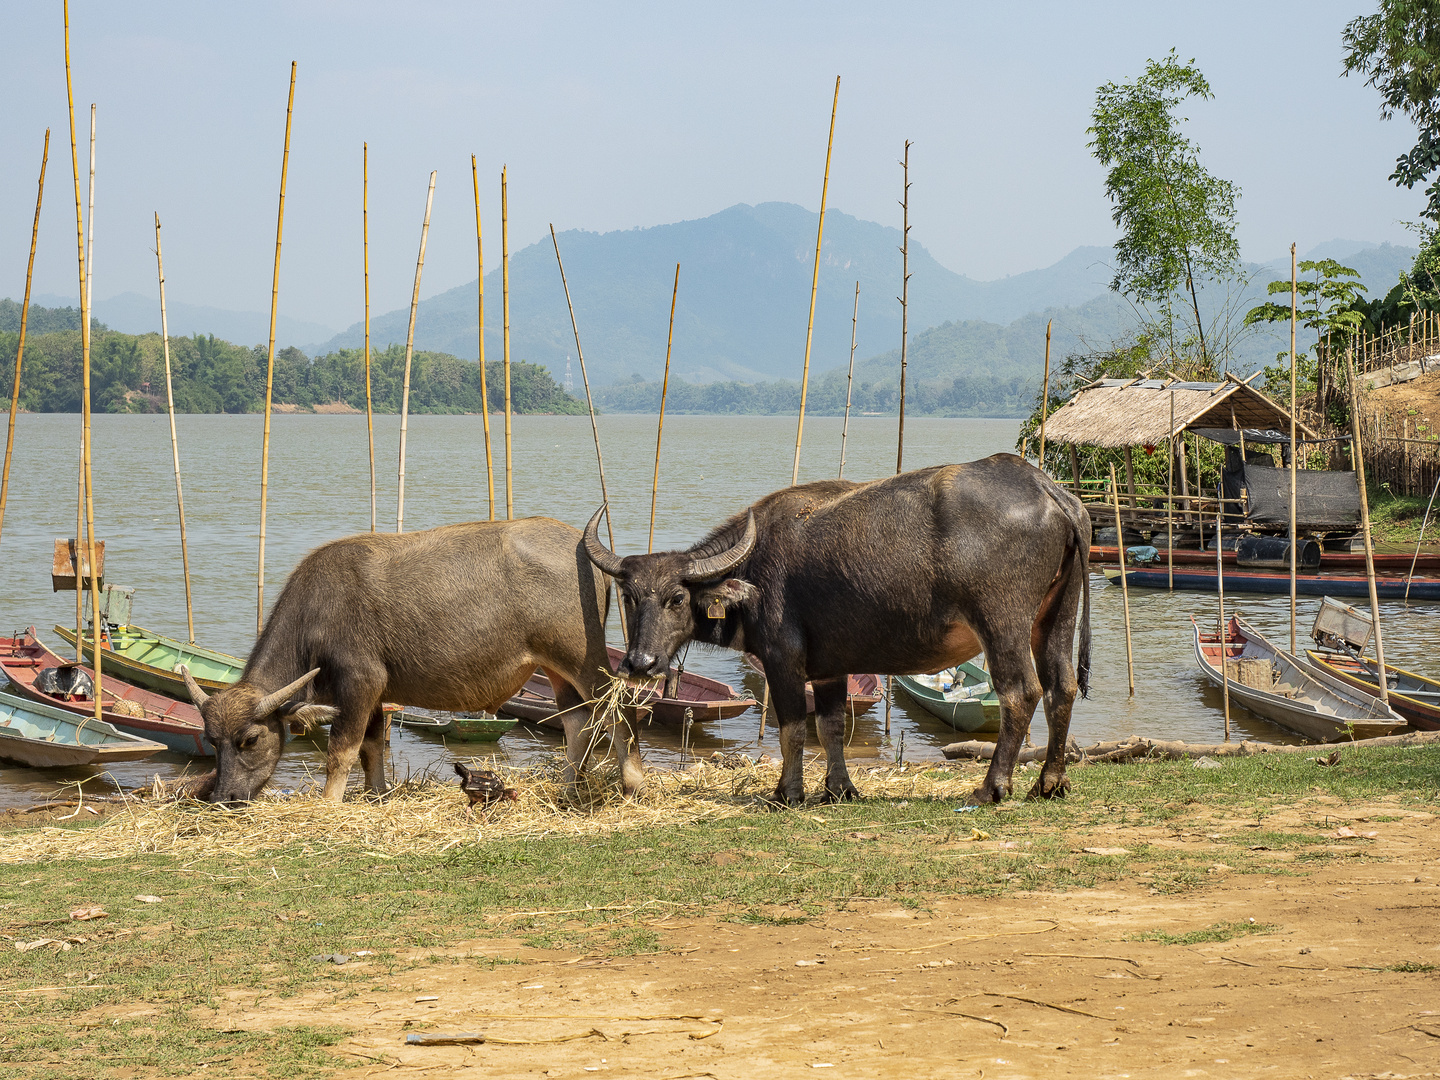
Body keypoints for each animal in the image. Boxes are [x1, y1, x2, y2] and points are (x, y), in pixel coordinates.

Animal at [180, 521, 636, 806]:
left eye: (251, 739)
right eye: (211, 740)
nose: (224, 798)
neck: (316, 615)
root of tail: (584, 553)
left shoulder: (360, 681)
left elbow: (341, 751)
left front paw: (329, 804)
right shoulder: (375, 694)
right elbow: (371, 747)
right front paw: (377, 794)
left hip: (582, 658)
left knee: (618, 711)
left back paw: (633, 783)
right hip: (555, 667)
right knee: (578, 721)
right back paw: (570, 789)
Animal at [584, 452, 1088, 806]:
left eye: (676, 598)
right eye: (629, 597)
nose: (640, 663)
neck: (753, 572)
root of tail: (1047, 489)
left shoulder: (783, 661)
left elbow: (792, 729)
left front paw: (786, 793)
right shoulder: (829, 668)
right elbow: (829, 727)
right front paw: (839, 789)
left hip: (1002, 622)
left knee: (1020, 692)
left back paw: (991, 788)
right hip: (1056, 614)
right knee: (1060, 687)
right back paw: (1050, 782)